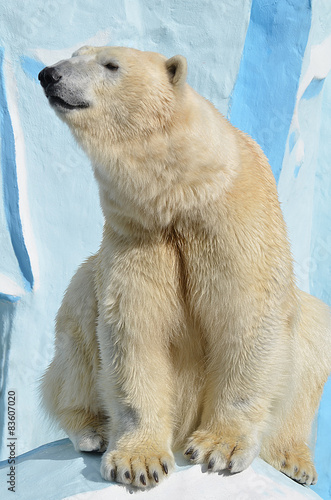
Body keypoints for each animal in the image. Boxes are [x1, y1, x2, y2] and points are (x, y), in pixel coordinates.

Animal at [39, 46, 331, 488]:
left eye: (111, 65)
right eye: (74, 54)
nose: (49, 74)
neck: (184, 191)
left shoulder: (235, 222)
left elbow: (249, 318)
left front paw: (219, 448)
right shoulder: (137, 235)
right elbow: (133, 330)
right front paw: (138, 462)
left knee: (313, 333)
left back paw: (294, 460)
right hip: (86, 294)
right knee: (78, 316)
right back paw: (92, 430)